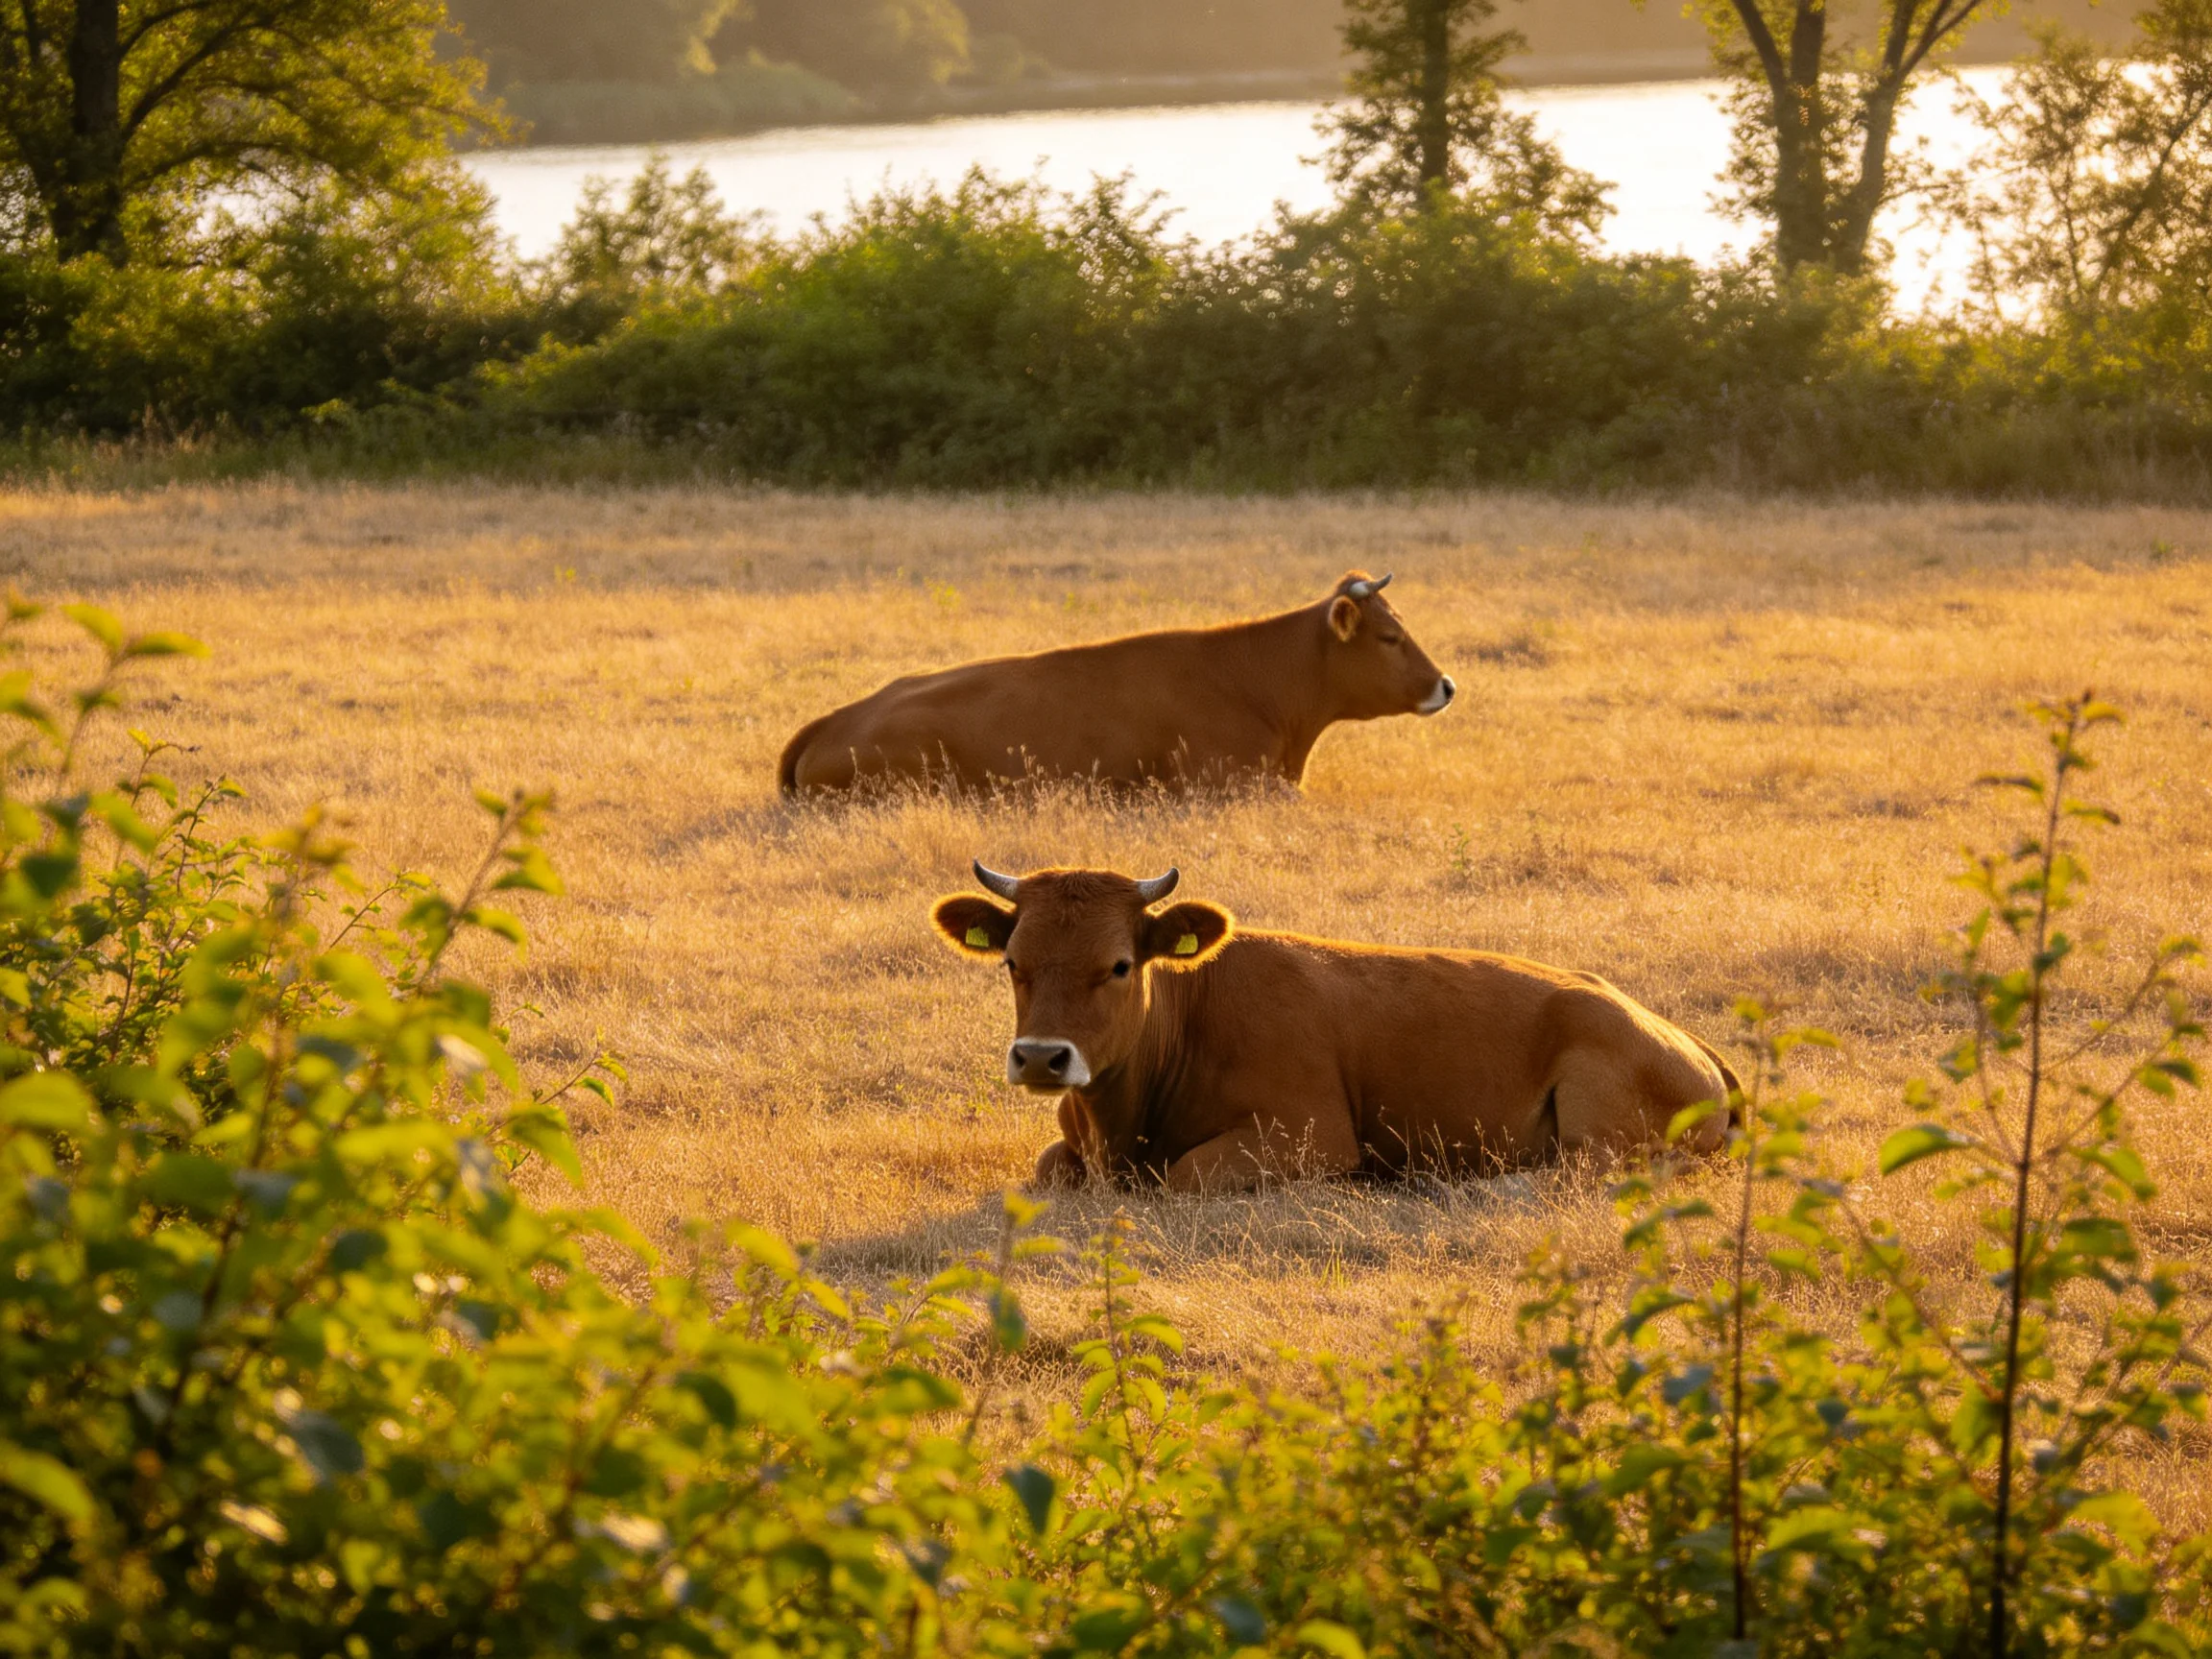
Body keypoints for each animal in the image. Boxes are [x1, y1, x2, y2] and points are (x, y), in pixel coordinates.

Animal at [931, 862, 1738, 1192]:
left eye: (1121, 965)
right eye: (1012, 961)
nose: (1043, 1058)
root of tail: (1686, 1040)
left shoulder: (1311, 1134)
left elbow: (1184, 1175)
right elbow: (1047, 1166)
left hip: (1596, 1123)